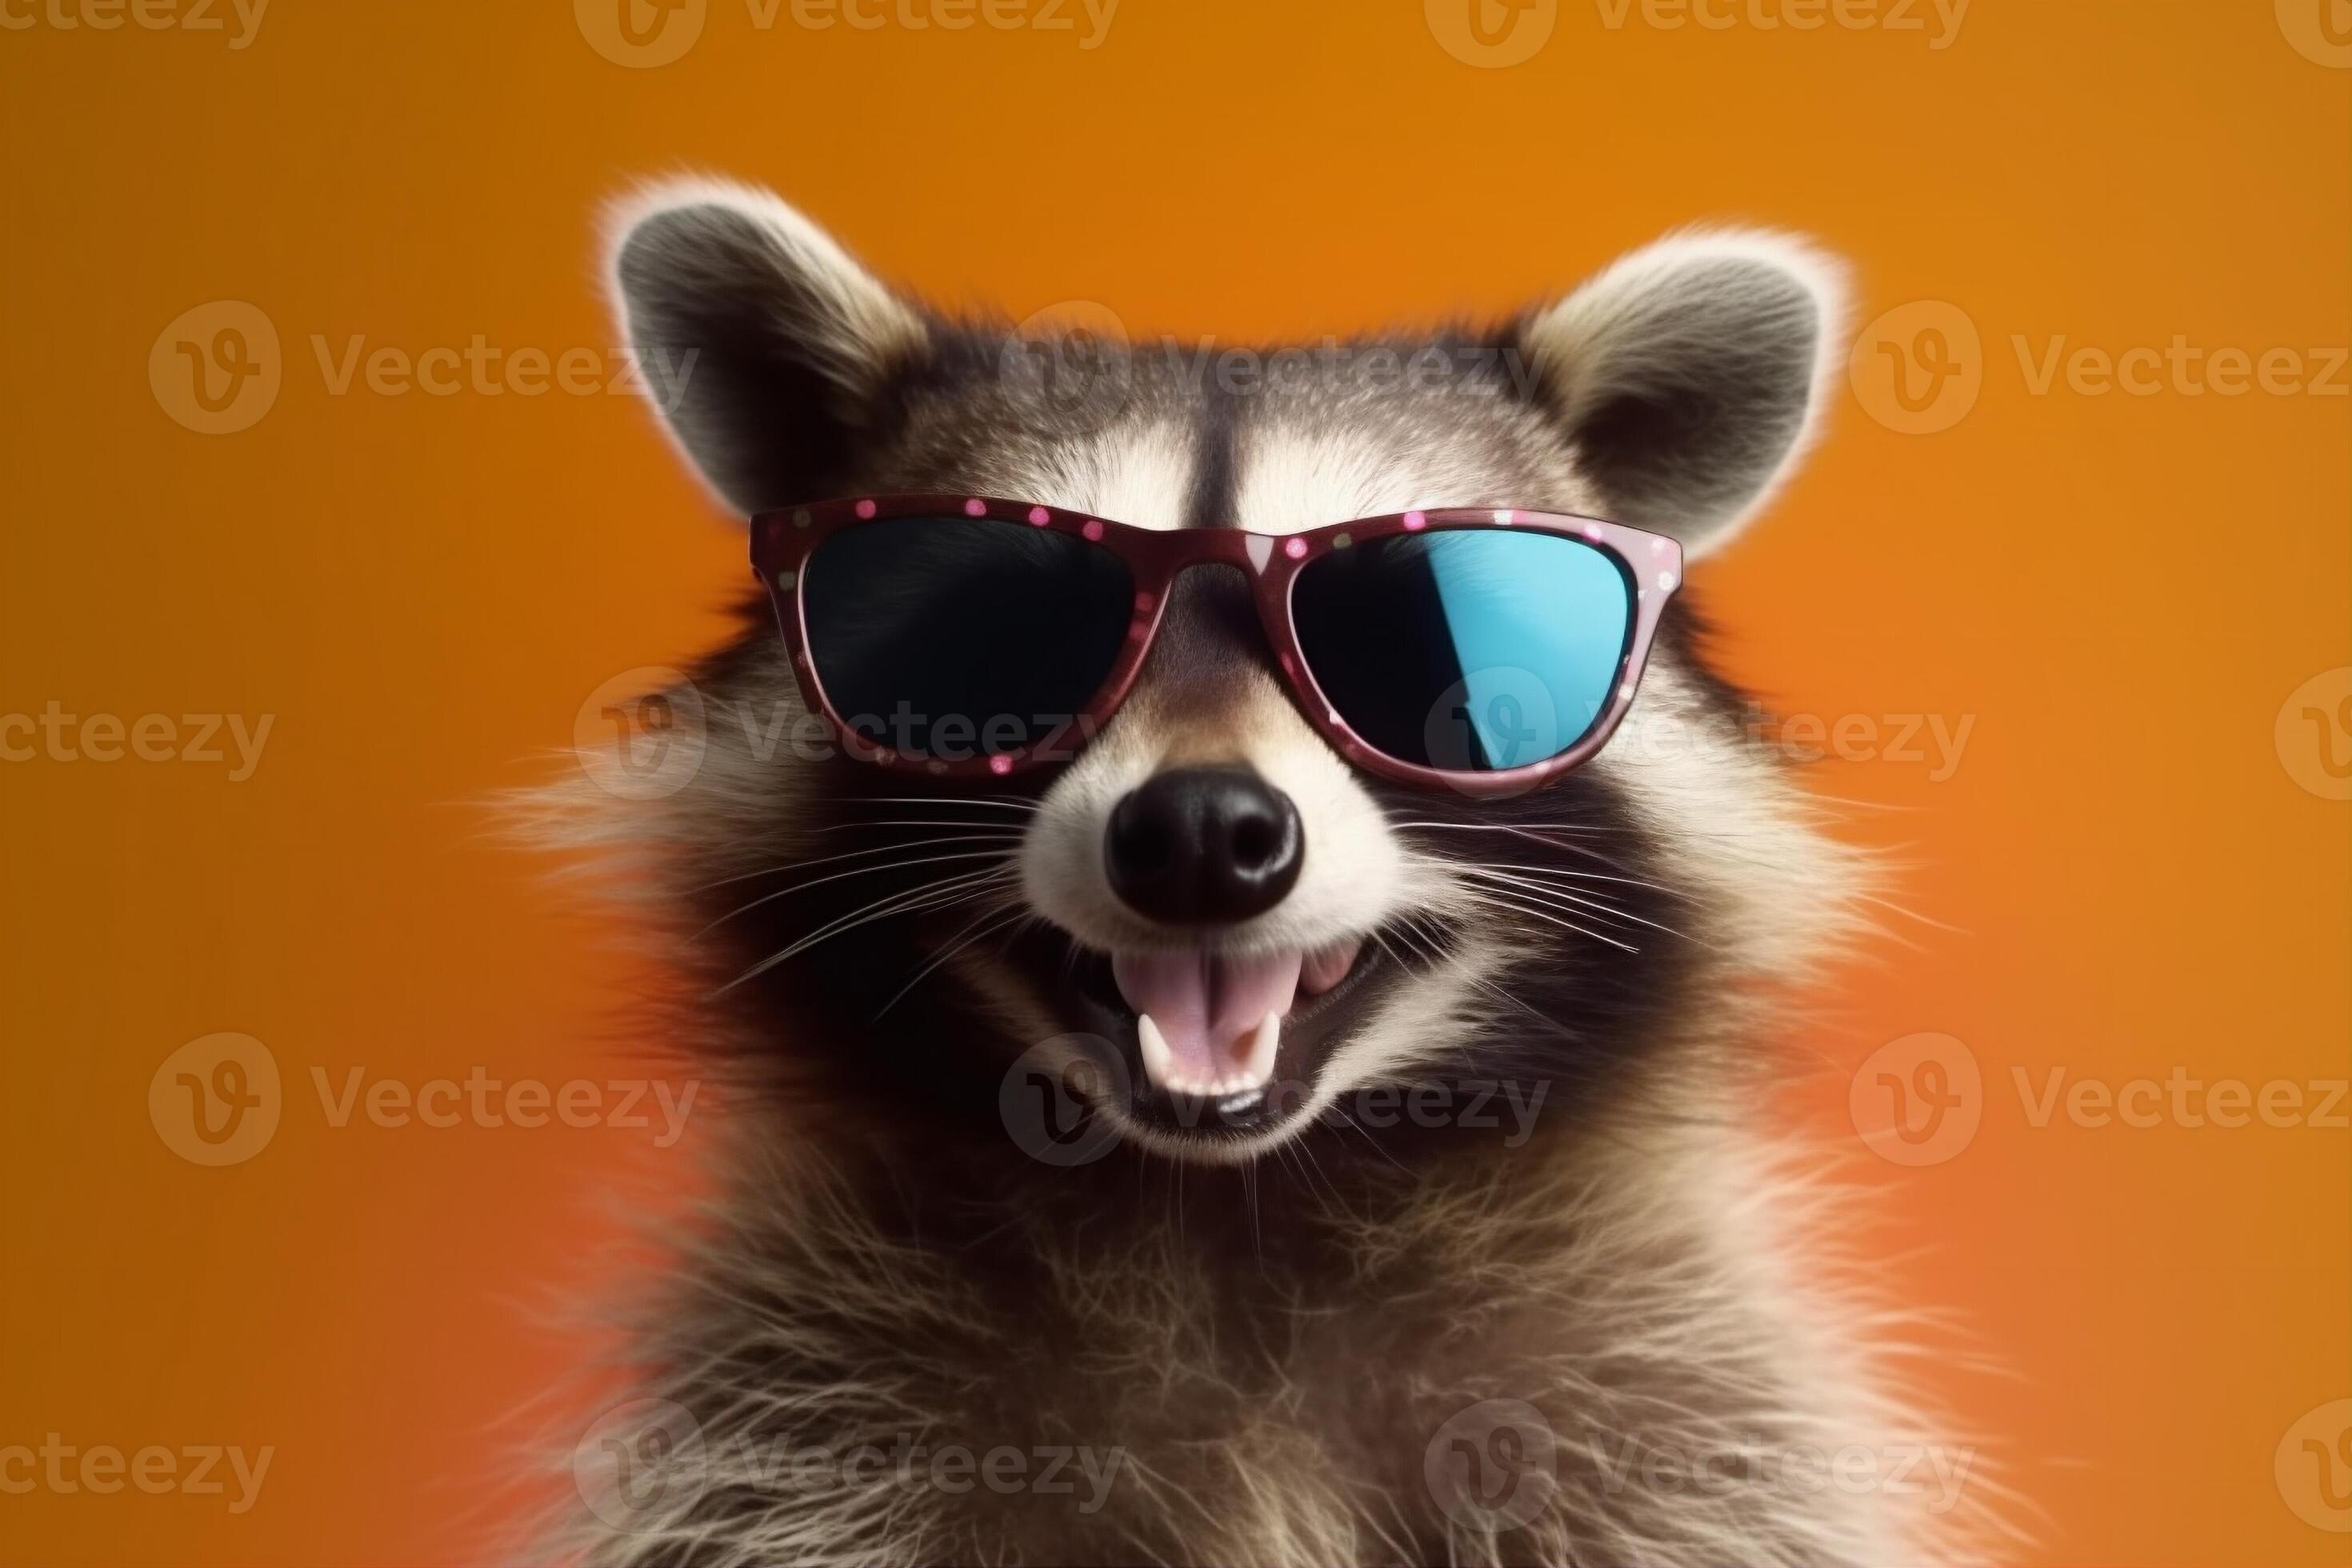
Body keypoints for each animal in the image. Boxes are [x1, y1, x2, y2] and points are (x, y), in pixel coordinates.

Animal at [541, 176, 1987, 1567]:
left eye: (1411, 647)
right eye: (1006, 635)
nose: (1200, 834)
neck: (1226, 1207)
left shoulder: (1686, 1413)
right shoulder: (791, 1423)